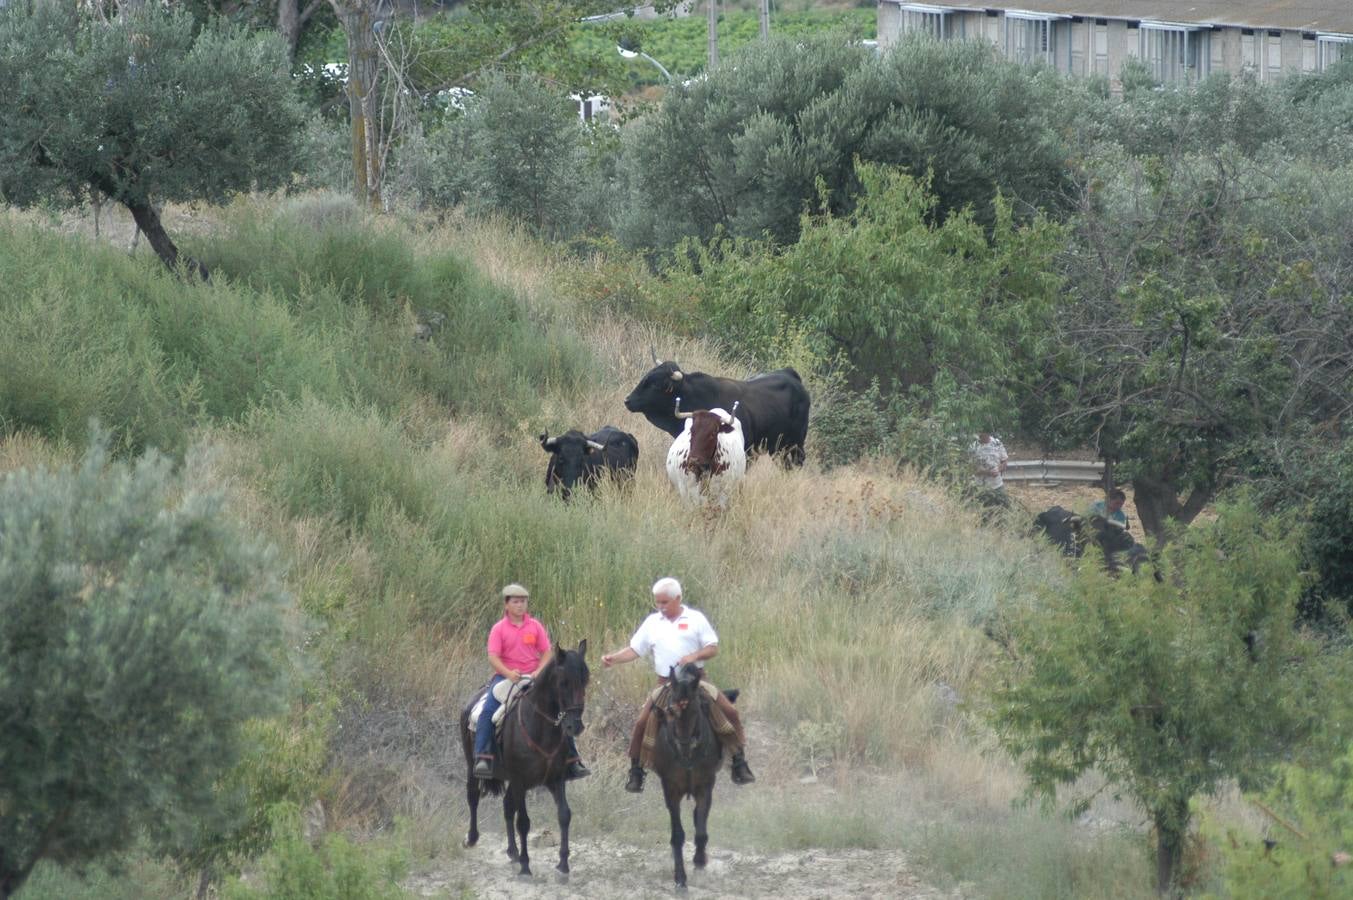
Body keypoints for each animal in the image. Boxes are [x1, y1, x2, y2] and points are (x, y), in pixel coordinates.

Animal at [460, 638, 587, 876]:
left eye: (585, 681)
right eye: (563, 682)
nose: (574, 726)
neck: (540, 727)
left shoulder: (556, 778)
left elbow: (564, 815)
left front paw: (563, 866)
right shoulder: (520, 780)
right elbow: (524, 822)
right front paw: (526, 868)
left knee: (507, 807)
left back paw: (513, 852)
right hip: (472, 766)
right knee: (473, 796)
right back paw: (472, 839)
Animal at [646, 663, 736, 887]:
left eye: (696, 709)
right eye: (670, 710)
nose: (684, 744)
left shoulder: (705, 785)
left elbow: (701, 830)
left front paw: (699, 862)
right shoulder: (670, 789)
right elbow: (677, 835)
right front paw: (680, 879)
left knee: (698, 818)